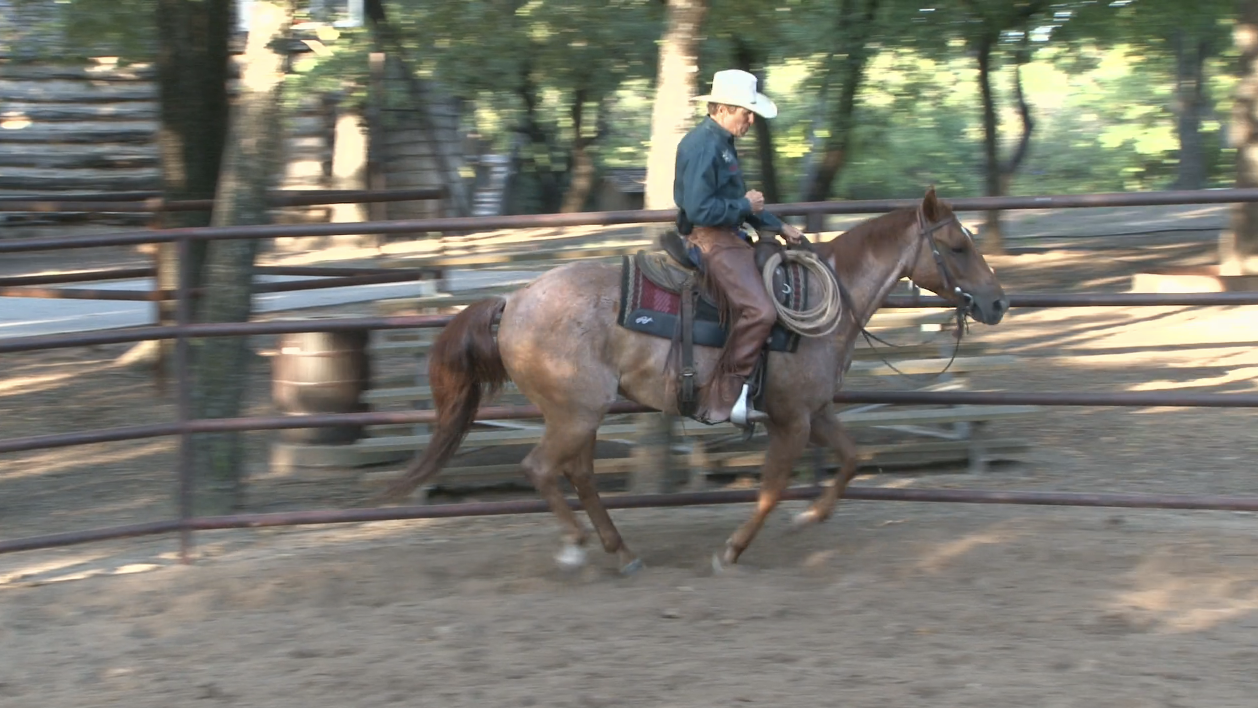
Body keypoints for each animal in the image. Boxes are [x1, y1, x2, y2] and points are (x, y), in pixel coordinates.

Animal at [380, 187, 1008, 573]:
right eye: (957, 245)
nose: (999, 303)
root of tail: (512, 302)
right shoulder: (791, 420)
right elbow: (772, 488)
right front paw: (731, 551)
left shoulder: (815, 412)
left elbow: (853, 459)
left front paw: (810, 518)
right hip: (575, 412)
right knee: (541, 469)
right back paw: (578, 548)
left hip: (580, 414)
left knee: (580, 476)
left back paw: (621, 551)